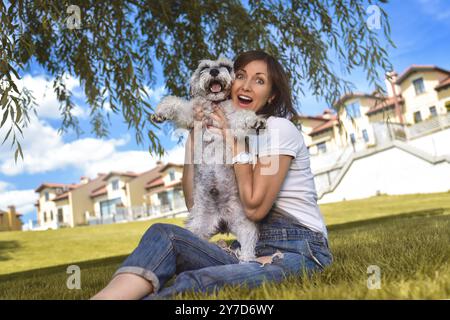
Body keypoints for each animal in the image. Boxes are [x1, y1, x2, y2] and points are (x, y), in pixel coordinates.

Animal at [151, 58, 264, 262]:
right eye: (204, 67)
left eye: (225, 66)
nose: (213, 71)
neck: (213, 105)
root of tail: (222, 220)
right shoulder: (191, 114)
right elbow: (174, 102)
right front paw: (160, 113)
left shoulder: (232, 122)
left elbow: (243, 116)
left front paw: (256, 121)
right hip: (197, 227)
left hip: (245, 225)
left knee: (248, 245)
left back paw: (246, 259)